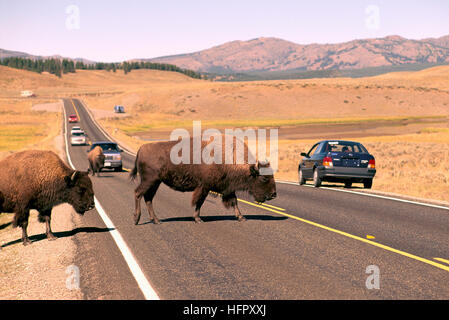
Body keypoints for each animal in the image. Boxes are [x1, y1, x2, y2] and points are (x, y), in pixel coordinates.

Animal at [130, 136, 276, 224]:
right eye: (264, 177)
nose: (273, 194)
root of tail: (141, 149)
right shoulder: (204, 187)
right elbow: (199, 202)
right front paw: (198, 219)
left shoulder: (227, 188)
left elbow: (234, 202)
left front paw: (241, 217)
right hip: (149, 180)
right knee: (138, 193)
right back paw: (136, 219)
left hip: (155, 183)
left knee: (148, 198)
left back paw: (156, 220)